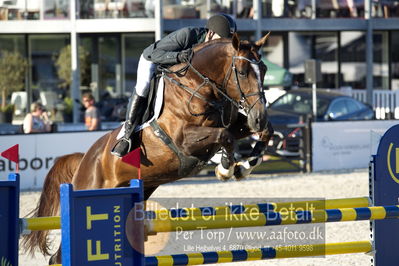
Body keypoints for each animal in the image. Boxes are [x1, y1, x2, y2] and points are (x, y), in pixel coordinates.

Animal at [22, 33, 276, 264]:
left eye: (263, 69)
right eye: (242, 71)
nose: (259, 117)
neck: (199, 86)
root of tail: (85, 159)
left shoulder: (234, 123)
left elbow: (265, 132)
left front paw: (245, 166)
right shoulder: (184, 139)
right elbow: (225, 137)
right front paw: (225, 168)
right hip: (91, 190)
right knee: (57, 257)